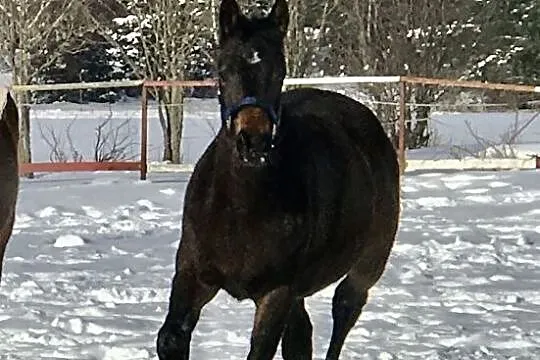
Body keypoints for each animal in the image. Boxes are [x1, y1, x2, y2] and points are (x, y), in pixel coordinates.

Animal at [156, 0, 400, 358]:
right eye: (223, 71)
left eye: (280, 72)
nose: (252, 142)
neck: (239, 209)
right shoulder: (193, 277)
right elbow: (170, 337)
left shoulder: (277, 293)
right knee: (301, 336)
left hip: (368, 263)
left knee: (345, 311)